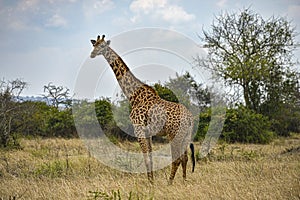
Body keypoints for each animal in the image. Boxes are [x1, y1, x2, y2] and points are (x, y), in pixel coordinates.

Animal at [90, 35, 196, 184]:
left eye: (102, 46)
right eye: (94, 45)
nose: (92, 54)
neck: (133, 95)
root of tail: (190, 118)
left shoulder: (138, 128)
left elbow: (146, 158)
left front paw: (150, 183)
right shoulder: (148, 132)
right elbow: (150, 157)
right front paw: (152, 180)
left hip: (174, 134)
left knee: (177, 159)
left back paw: (169, 182)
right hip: (186, 135)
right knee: (185, 158)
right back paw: (184, 181)